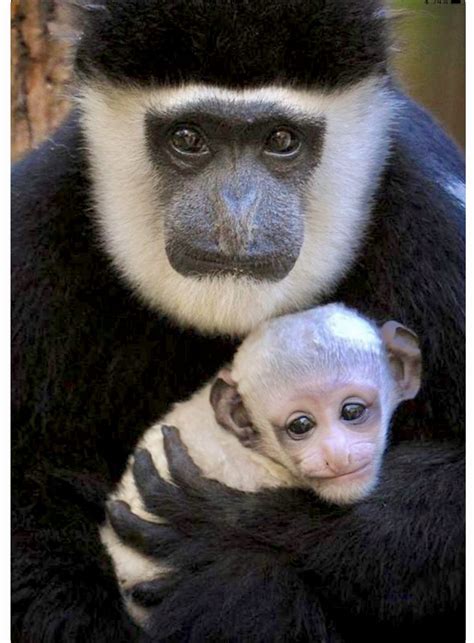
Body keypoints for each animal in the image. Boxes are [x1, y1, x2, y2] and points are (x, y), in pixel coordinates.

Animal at [11, 1, 462, 643]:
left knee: (249, 581)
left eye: (281, 141)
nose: (235, 211)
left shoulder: (433, 225)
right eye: (188, 139)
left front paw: (222, 521)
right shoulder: (35, 229)